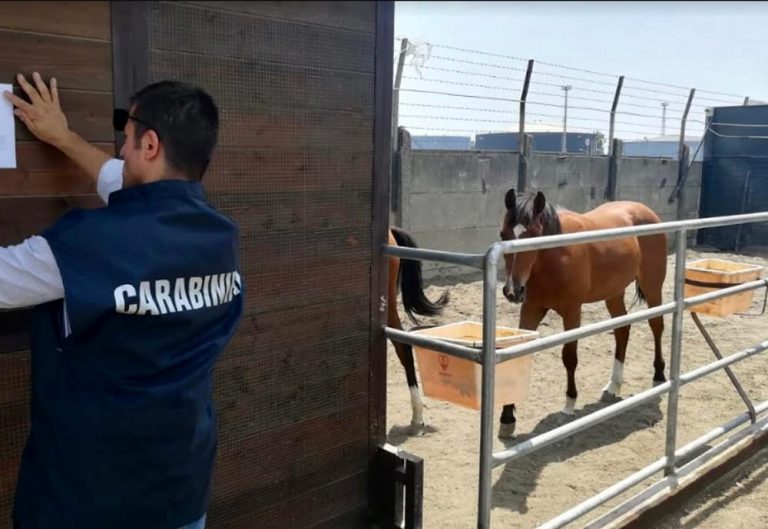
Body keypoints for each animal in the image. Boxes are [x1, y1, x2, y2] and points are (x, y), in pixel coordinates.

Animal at [498, 190, 664, 438]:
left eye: (534, 235)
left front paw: (569, 405)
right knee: (622, 330)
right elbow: (519, 354)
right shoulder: (531, 308)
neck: (555, 253)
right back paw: (613, 386)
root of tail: (647, 211)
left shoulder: (572, 311)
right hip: (613, 293)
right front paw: (507, 418)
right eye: (503, 234)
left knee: (657, 326)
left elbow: (569, 357)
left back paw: (659, 377)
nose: (512, 290)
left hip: (653, 288)